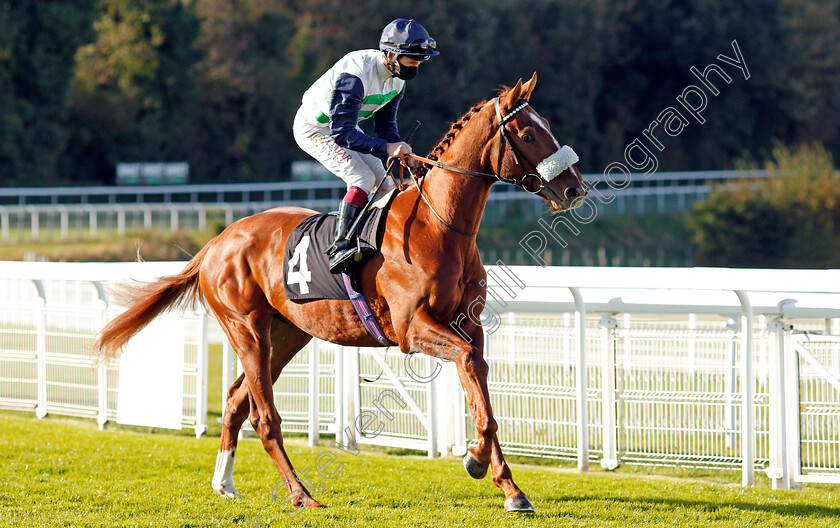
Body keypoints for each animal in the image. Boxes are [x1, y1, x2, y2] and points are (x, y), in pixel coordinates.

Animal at [93, 73, 584, 512]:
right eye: (527, 133)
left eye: (548, 125)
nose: (575, 188)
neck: (438, 226)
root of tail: (217, 241)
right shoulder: (412, 329)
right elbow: (467, 364)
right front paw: (480, 462)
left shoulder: (468, 324)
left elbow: (477, 376)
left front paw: (504, 482)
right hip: (246, 328)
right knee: (264, 416)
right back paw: (301, 494)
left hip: (287, 333)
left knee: (234, 401)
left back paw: (224, 484)